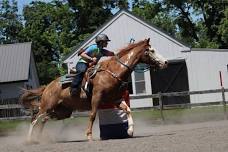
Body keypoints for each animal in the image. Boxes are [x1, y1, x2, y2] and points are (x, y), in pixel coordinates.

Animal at [20, 38, 167, 142]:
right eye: (151, 50)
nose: (165, 62)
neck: (112, 72)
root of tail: (47, 87)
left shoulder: (115, 99)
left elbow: (128, 110)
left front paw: (130, 131)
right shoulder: (96, 98)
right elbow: (92, 115)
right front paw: (89, 135)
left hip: (61, 111)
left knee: (43, 120)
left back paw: (40, 138)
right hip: (47, 106)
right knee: (35, 119)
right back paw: (29, 140)